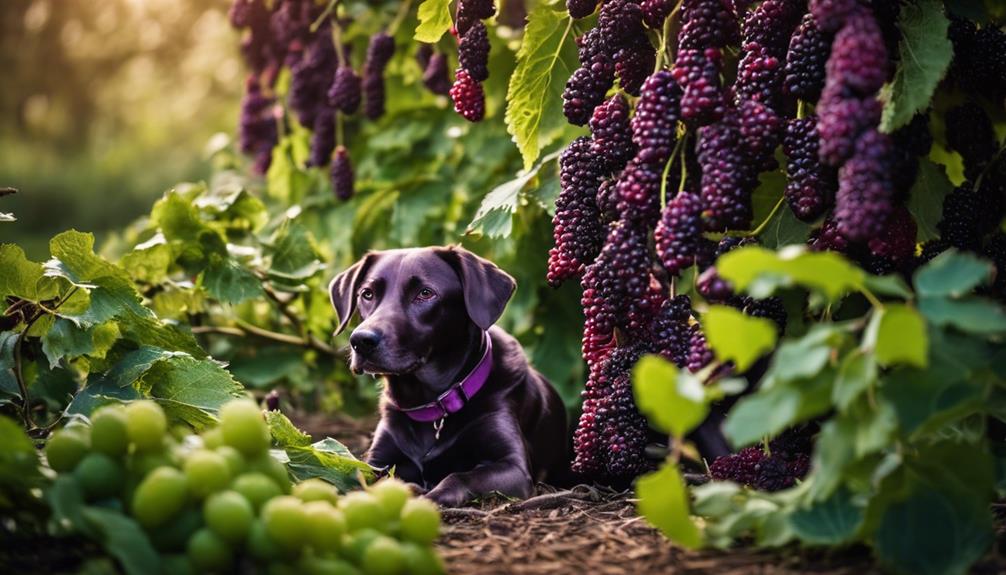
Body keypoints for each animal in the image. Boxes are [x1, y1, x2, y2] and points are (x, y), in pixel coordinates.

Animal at [327, 245, 567, 504]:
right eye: (367, 294)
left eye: (425, 293)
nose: (361, 341)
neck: (429, 404)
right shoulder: (377, 461)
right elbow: (360, 478)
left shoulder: (513, 467)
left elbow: (459, 477)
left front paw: (427, 496)